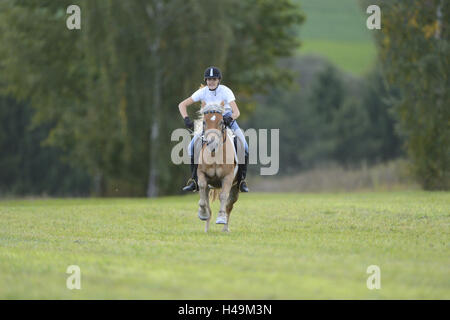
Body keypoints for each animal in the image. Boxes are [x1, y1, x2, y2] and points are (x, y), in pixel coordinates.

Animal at [195, 102, 241, 232]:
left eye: (221, 122)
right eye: (204, 122)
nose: (212, 143)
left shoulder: (228, 177)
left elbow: (223, 196)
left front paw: (221, 218)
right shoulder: (201, 174)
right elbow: (202, 193)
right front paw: (202, 213)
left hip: (236, 187)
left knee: (229, 206)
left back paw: (225, 228)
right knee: (208, 206)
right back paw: (206, 228)